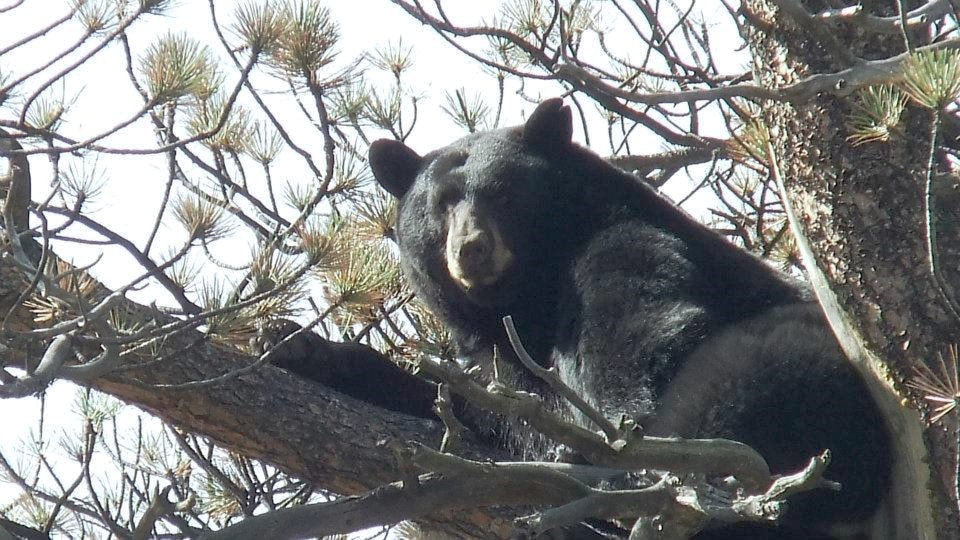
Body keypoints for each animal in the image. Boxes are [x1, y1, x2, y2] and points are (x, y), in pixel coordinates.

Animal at [364, 99, 888, 536]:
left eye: (505, 195)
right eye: (440, 206)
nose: (471, 249)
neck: (527, 297)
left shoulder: (622, 247)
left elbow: (631, 372)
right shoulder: (485, 344)